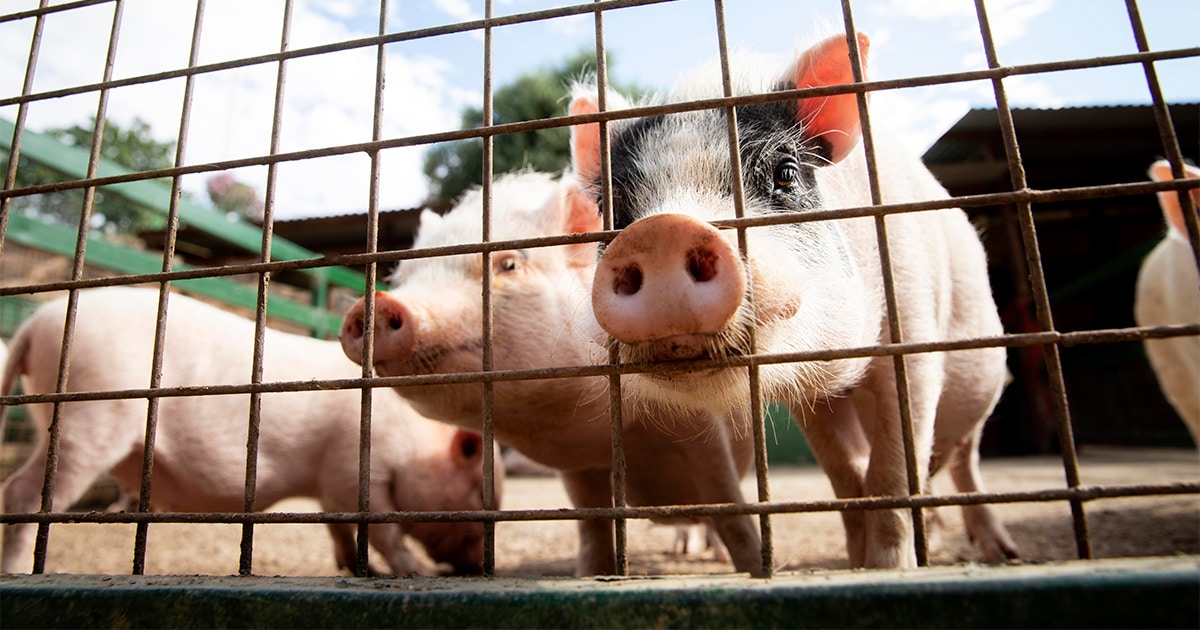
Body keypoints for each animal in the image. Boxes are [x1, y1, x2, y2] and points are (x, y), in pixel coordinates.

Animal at [0, 286, 496, 578]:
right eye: (475, 493)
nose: (474, 565)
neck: (415, 442)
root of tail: (32, 325)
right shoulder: (353, 470)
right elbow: (383, 529)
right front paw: (422, 575)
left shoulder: (330, 488)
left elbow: (337, 527)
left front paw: (357, 570)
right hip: (89, 416)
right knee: (22, 492)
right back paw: (16, 569)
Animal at [343, 170, 763, 573]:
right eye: (404, 278)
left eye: (509, 264)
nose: (378, 304)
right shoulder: (580, 469)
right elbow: (593, 525)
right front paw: (592, 573)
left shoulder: (703, 428)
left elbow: (730, 508)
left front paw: (755, 569)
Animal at [566, 31, 1017, 566]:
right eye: (612, 209)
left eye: (785, 173)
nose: (661, 230)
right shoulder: (812, 393)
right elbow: (845, 472)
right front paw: (857, 561)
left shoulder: (913, 330)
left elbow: (893, 470)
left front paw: (886, 567)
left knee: (965, 460)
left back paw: (1001, 553)